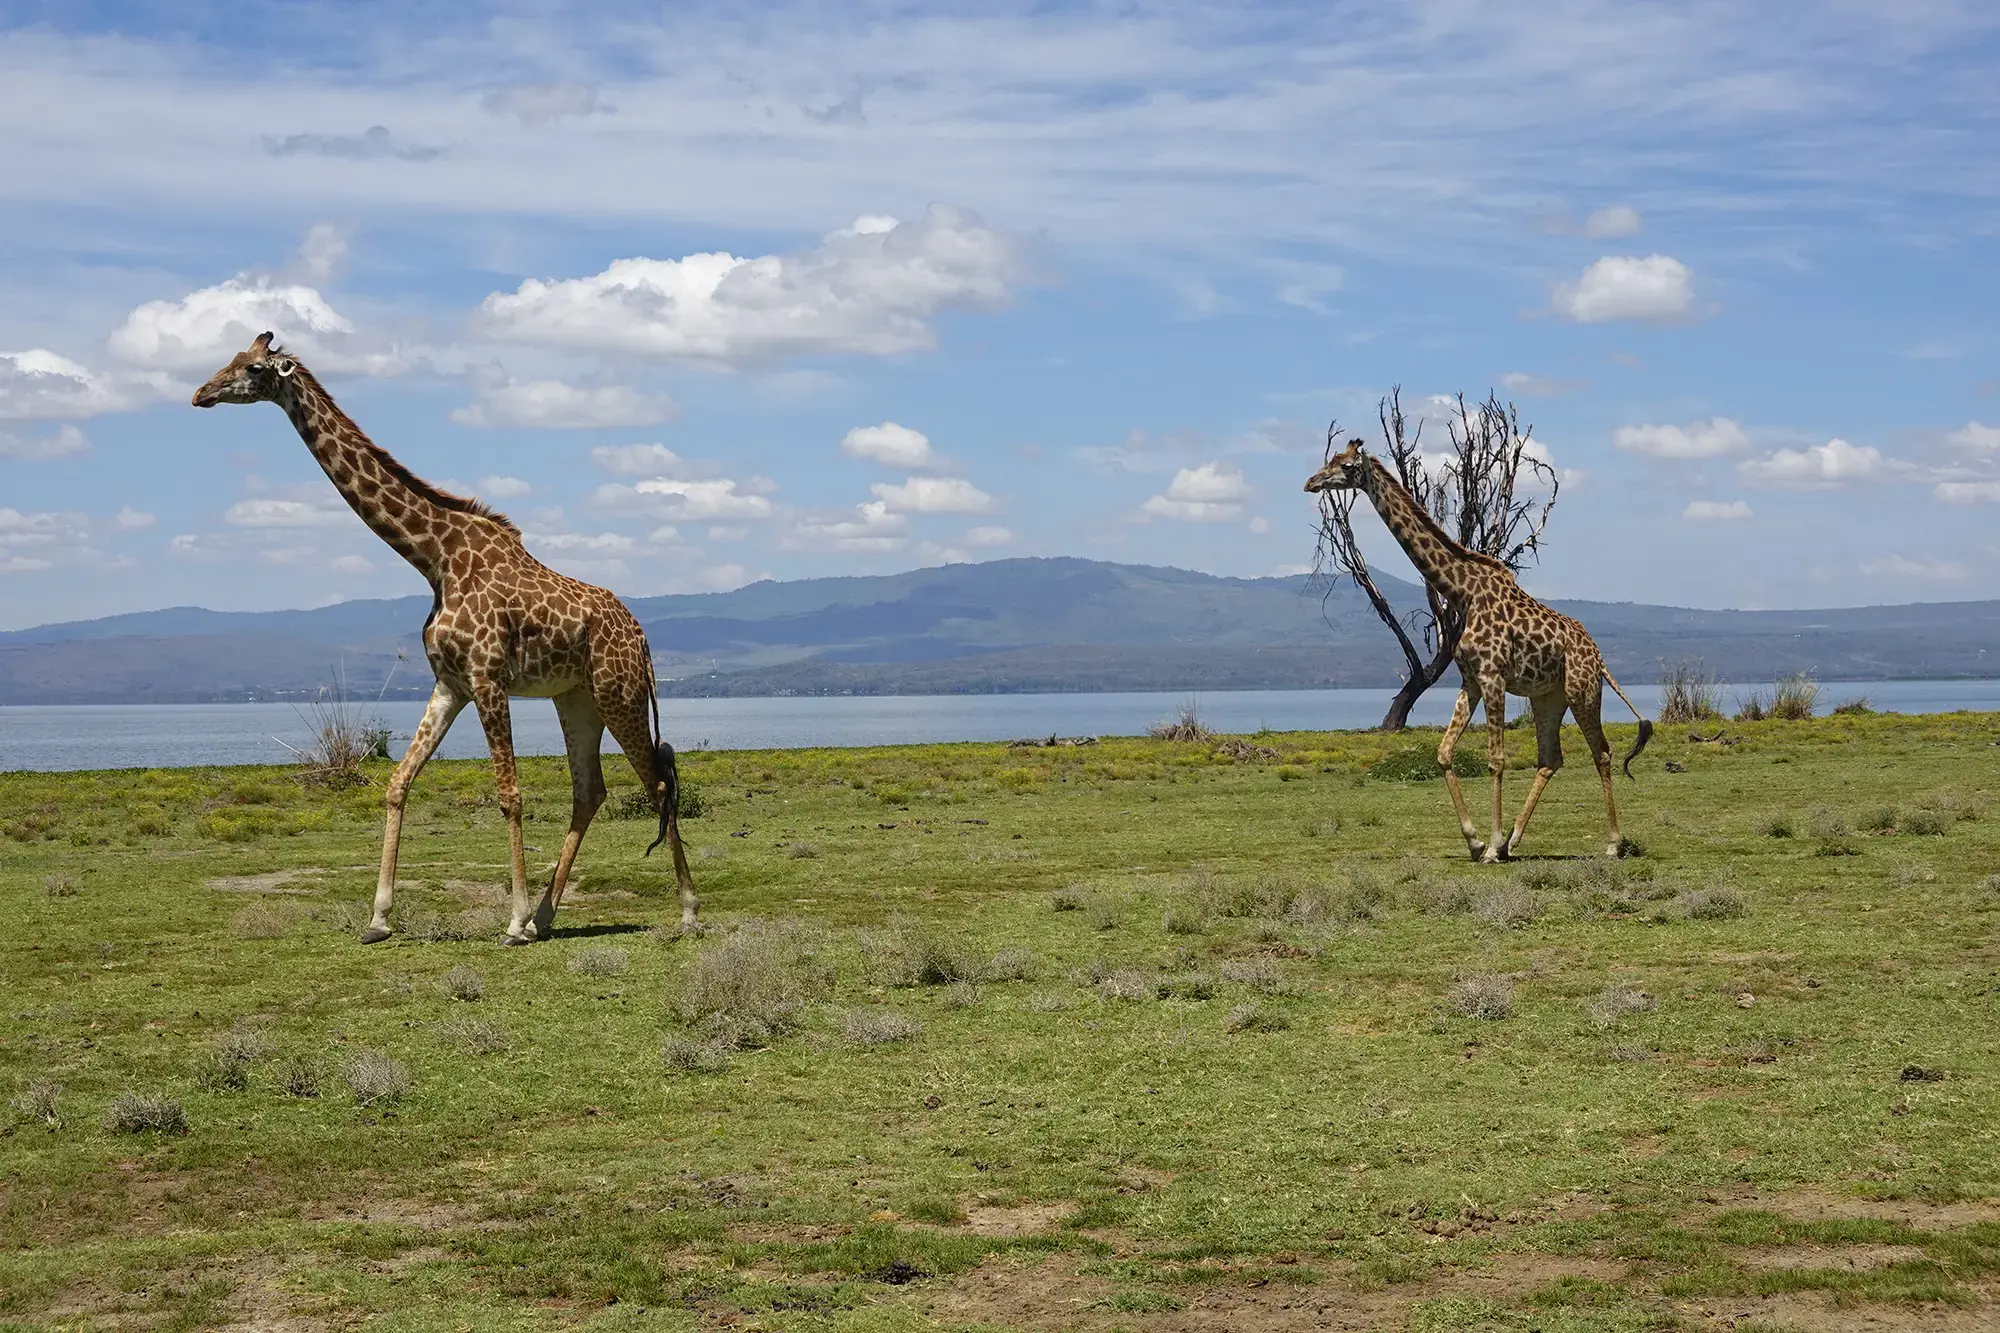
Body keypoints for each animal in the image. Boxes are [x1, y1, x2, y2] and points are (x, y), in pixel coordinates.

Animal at [193, 332, 698, 944]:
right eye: (230, 358)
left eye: (251, 368)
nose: (200, 393)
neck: (435, 559)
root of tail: (641, 636)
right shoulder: (449, 683)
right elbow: (397, 782)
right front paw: (379, 918)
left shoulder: (487, 677)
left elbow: (509, 795)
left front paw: (512, 921)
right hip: (575, 697)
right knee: (590, 790)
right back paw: (548, 916)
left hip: (617, 693)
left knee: (656, 782)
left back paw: (686, 909)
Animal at [1305, 438, 1652, 862]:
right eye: (1331, 459)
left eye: (1346, 465)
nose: (1310, 482)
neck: (1463, 593)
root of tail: (1598, 656)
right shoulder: (1470, 679)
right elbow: (1443, 752)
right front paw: (1478, 841)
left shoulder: (1492, 676)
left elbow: (1495, 760)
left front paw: (1489, 846)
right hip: (1547, 696)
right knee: (1550, 757)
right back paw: (1514, 841)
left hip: (1581, 689)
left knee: (1601, 752)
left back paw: (1612, 843)